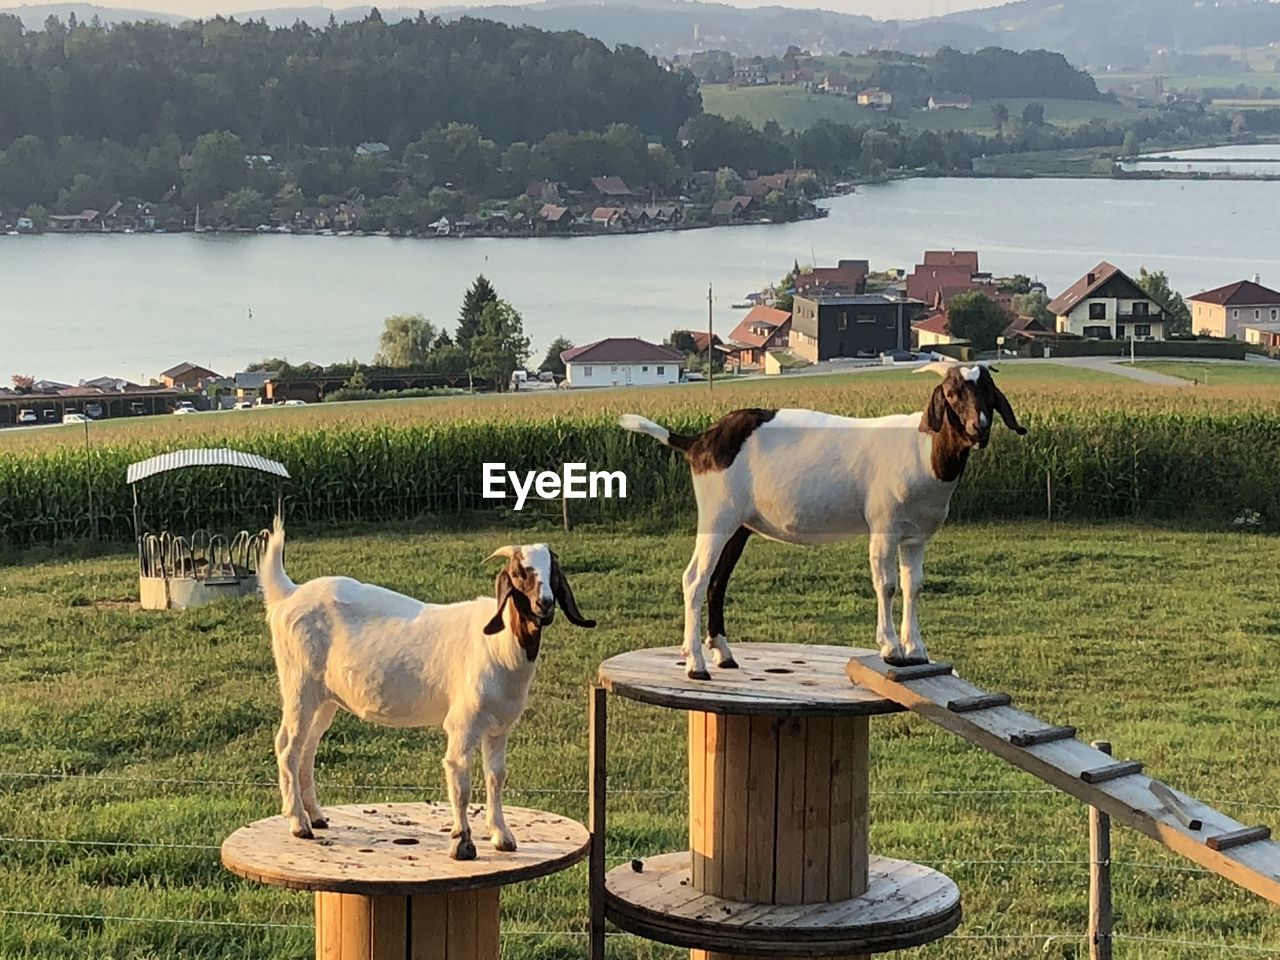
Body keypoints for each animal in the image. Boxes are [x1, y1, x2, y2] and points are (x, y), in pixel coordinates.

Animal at [263, 527, 599, 865]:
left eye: (554, 573)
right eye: (519, 572)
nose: (545, 604)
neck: (499, 644)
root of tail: (288, 594)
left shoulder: (499, 727)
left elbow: (496, 776)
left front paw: (502, 836)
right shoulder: (463, 723)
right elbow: (460, 779)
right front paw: (462, 843)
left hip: (325, 699)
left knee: (307, 748)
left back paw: (316, 816)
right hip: (299, 685)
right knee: (287, 746)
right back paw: (298, 823)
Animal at [619, 363, 1029, 686]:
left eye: (988, 393)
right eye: (952, 393)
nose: (979, 428)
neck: (923, 449)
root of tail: (699, 441)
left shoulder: (916, 536)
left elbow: (913, 586)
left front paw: (916, 648)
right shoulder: (883, 524)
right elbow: (887, 584)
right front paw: (891, 648)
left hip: (739, 525)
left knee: (717, 581)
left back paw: (723, 653)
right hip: (718, 514)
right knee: (694, 579)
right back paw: (696, 665)